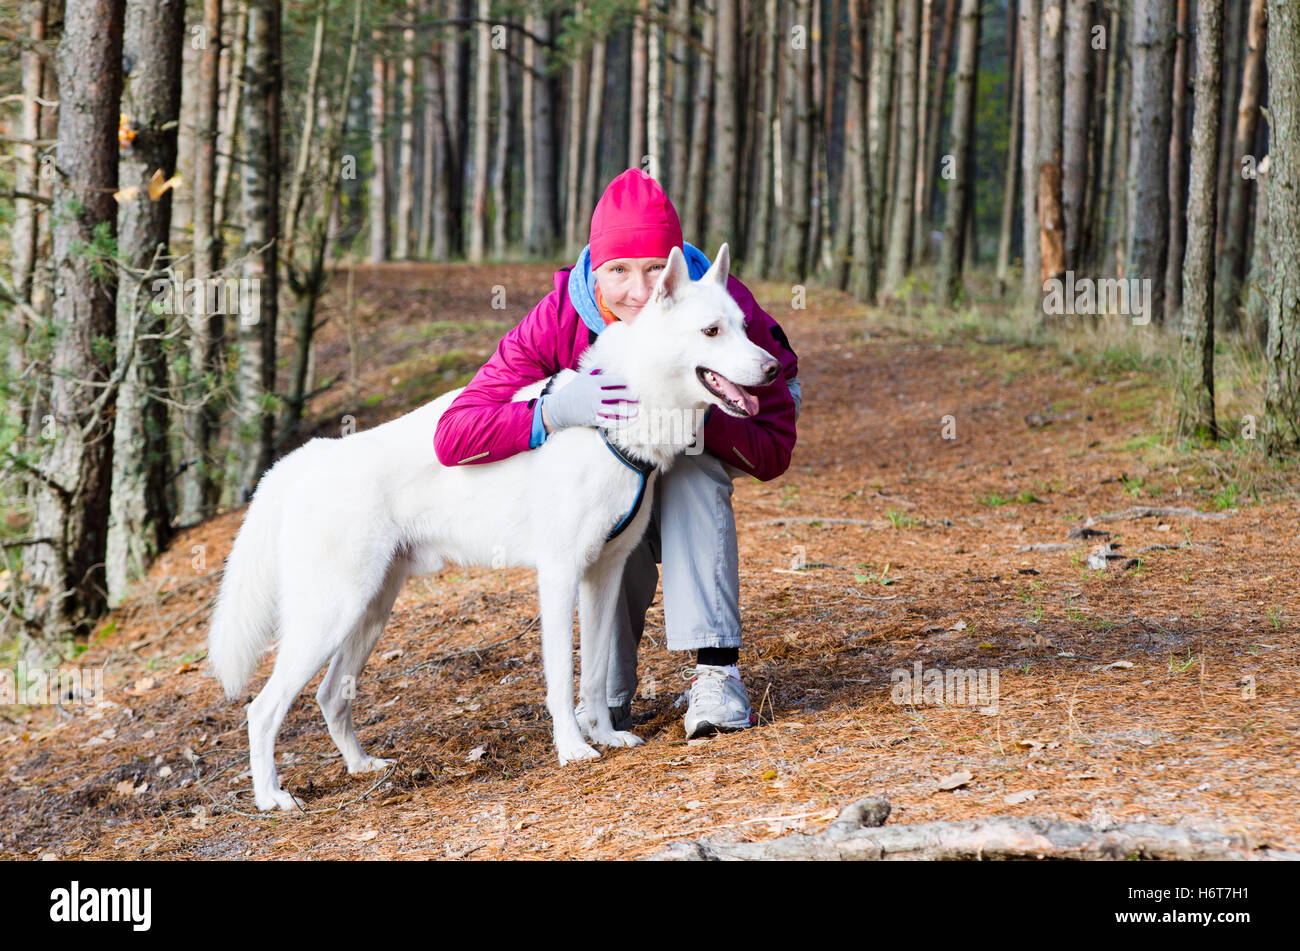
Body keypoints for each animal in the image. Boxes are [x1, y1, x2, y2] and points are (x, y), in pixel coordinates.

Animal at [206, 245, 774, 810]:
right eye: (710, 331)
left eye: (744, 327)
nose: (772, 369)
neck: (620, 411)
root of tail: (306, 458)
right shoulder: (559, 576)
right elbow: (561, 679)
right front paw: (572, 748)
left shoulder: (603, 576)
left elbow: (593, 675)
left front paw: (606, 736)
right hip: (330, 616)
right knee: (262, 710)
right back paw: (271, 798)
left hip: (368, 613)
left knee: (329, 696)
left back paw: (362, 766)